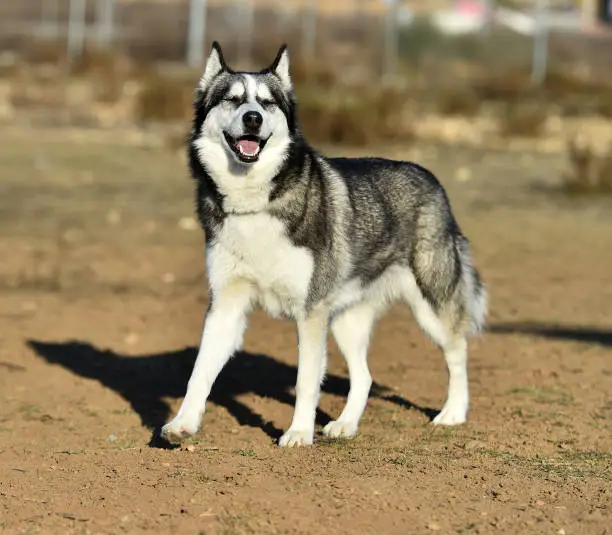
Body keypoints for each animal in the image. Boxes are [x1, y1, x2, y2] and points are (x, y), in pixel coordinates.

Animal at [163, 42, 488, 448]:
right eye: (232, 99)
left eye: (267, 103)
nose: (252, 119)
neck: (255, 201)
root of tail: (431, 179)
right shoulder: (225, 306)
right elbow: (199, 373)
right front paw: (182, 424)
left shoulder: (310, 313)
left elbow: (306, 382)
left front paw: (299, 433)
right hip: (347, 321)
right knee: (364, 376)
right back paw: (345, 425)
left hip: (431, 305)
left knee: (458, 351)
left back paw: (453, 413)